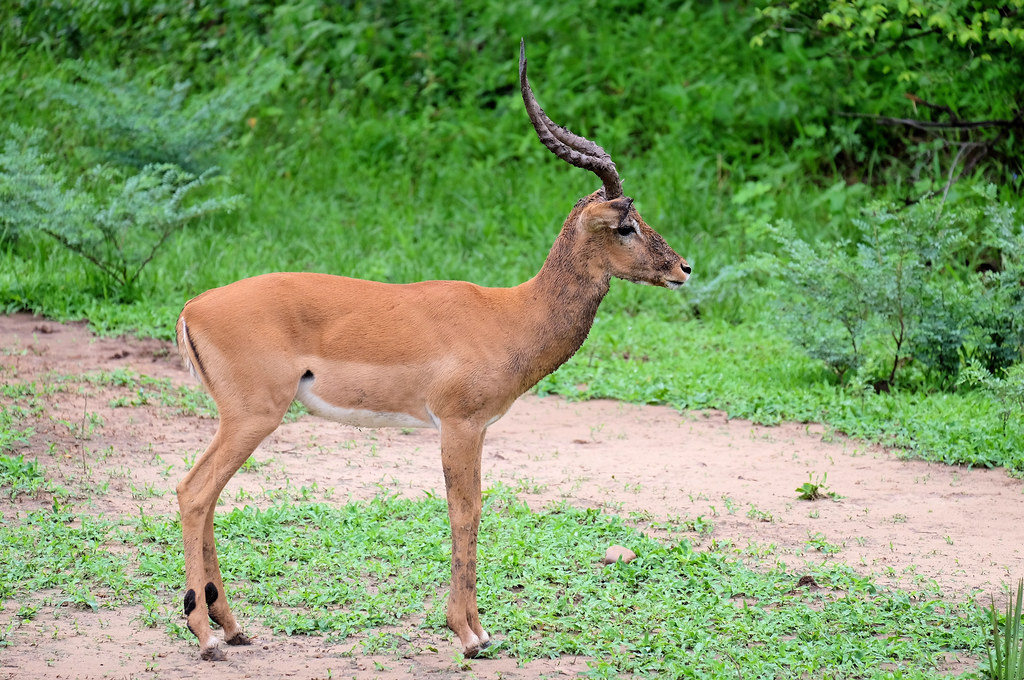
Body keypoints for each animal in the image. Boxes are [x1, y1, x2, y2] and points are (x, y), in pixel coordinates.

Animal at [176, 39, 692, 659]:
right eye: (626, 225)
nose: (683, 268)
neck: (511, 314)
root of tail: (193, 308)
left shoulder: (479, 428)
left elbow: (470, 510)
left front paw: (476, 629)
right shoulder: (459, 424)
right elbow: (465, 511)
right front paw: (469, 634)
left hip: (240, 420)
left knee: (206, 497)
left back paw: (232, 627)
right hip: (252, 416)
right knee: (194, 492)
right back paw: (206, 636)